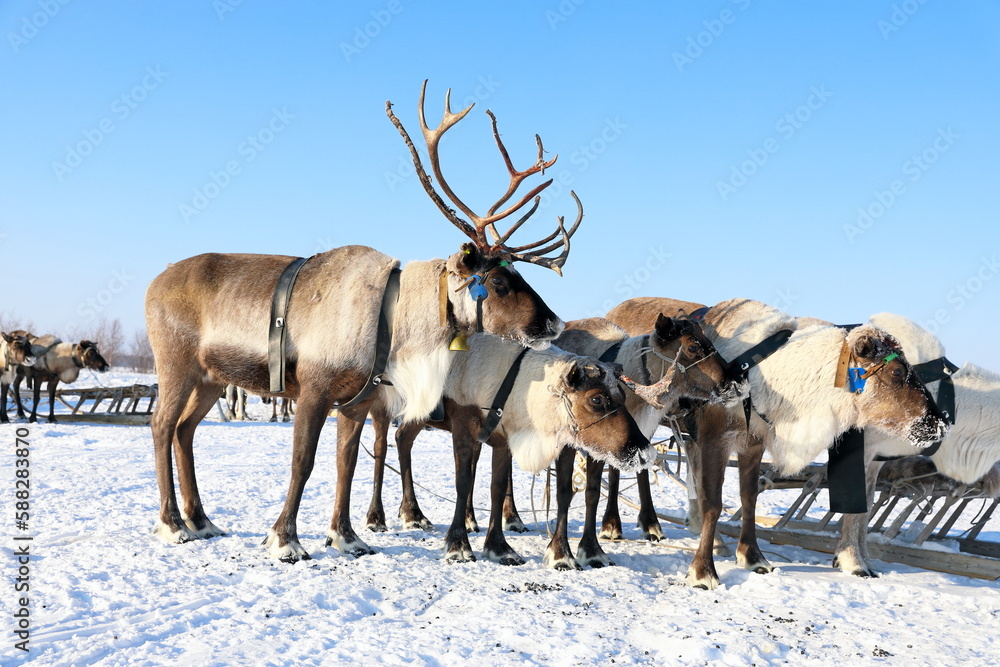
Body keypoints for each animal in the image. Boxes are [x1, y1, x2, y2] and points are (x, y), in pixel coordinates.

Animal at [145, 81, 584, 561]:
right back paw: (172, 524)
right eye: (501, 282)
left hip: (209, 378)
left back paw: (201, 520)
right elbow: (304, 462)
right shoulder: (314, 390)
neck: (393, 319)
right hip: (176, 366)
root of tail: (154, 282)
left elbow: (349, 464)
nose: (554, 322)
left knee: (185, 431)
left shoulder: (355, 401)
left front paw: (346, 535)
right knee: (161, 426)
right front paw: (285, 538)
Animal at [607, 297, 950, 589]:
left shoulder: (752, 442)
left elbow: (748, 498)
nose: (940, 422)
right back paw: (626, 525)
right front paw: (702, 572)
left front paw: (752, 556)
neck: (766, 377)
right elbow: (715, 503)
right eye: (897, 371)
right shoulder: (716, 440)